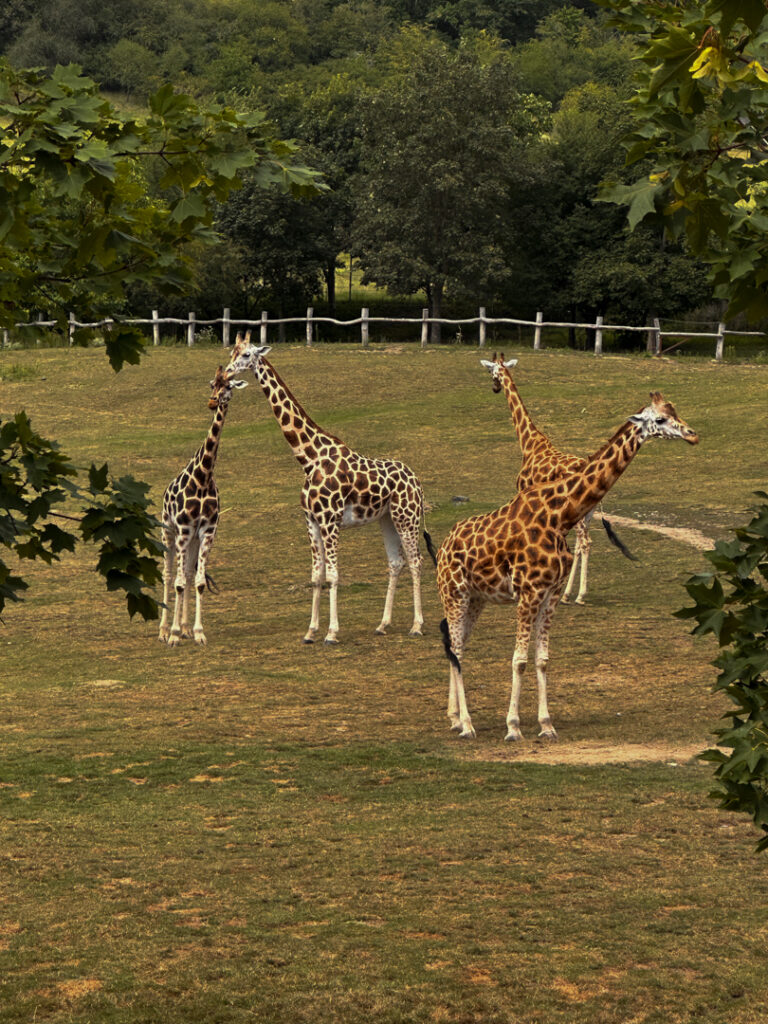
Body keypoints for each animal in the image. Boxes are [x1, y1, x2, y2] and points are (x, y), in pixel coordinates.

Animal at [158, 364, 247, 643]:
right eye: (211, 384)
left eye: (228, 386)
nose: (212, 402)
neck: (203, 476)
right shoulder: (183, 529)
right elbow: (176, 582)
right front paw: (174, 635)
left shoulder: (207, 531)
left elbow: (195, 581)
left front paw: (197, 632)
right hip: (168, 532)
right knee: (168, 575)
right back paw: (164, 630)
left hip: (192, 539)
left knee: (186, 574)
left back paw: (185, 627)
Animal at [225, 333, 436, 638]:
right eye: (231, 352)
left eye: (246, 355)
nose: (227, 373)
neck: (309, 458)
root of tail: (418, 482)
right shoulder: (311, 521)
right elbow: (317, 575)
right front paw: (311, 631)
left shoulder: (329, 520)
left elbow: (334, 574)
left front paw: (332, 632)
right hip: (386, 518)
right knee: (396, 562)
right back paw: (382, 624)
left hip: (406, 517)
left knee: (416, 561)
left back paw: (417, 626)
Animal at [436, 389, 700, 737]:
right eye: (660, 419)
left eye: (675, 412)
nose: (692, 434)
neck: (560, 516)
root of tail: (443, 546)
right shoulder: (529, 593)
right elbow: (519, 660)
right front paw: (513, 727)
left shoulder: (550, 593)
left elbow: (542, 659)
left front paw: (546, 724)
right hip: (454, 593)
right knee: (455, 649)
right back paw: (466, 724)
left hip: (476, 598)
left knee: (459, 646)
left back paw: (454, 718)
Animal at [481, 354, 638, 602]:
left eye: (491, 372)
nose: (495, 388)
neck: (528, 443)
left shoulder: (522, 493)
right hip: (587, 513)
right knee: (581, 544)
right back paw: (568, 593)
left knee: (585, 542)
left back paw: (578, 594)